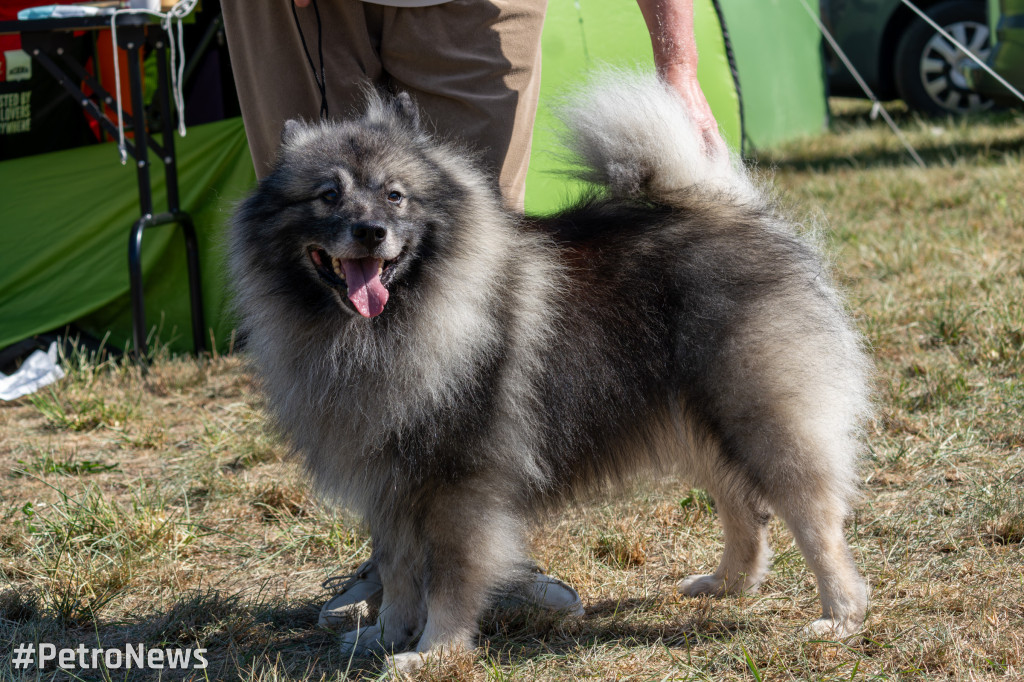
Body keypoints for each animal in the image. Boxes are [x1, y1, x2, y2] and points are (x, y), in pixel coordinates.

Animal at [230, 71, 872, 667]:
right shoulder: (391, 486)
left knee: (814, 516)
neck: (392, 325)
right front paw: (386, 636)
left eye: (394, 196)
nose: (371, 232)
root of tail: (726, 207)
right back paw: (727, 584)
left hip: (758, 415)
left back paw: (839, 615)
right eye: (326, 195)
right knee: (742, 506)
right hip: (698, 420)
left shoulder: (458, 487)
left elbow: (451, 579)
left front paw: (434, 652)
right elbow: (399, 573)